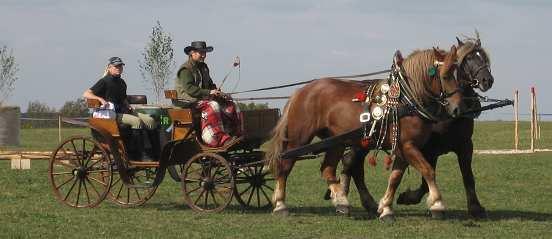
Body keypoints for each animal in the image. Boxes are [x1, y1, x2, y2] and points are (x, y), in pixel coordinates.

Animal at [266, 45, 464, 218]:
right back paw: (280, 205)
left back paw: (342, 202)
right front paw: (437, 204)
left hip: (337, 141)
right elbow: (428, 170)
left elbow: (395, 177)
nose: (457, 109)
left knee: (327, 169)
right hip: (298, 139)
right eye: (445, 75)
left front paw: (386, 207)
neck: (406, 100)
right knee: (285, 165)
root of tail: (301, 91)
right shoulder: (408, 146)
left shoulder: (403, 148)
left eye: (458, 73)